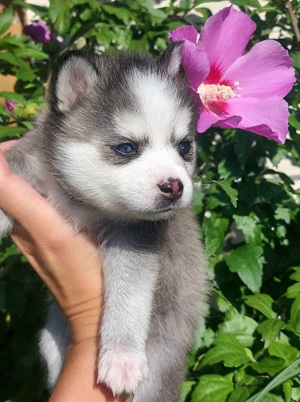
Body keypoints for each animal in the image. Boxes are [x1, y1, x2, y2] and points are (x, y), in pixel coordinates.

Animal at [0, 44, 206, 402]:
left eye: (184, 146)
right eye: (126, 148)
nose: (174, 186)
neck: (86, 203)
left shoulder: (135, 238)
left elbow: (128, 295)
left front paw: (122, 357)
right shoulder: (27, 162)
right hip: (51, 344)